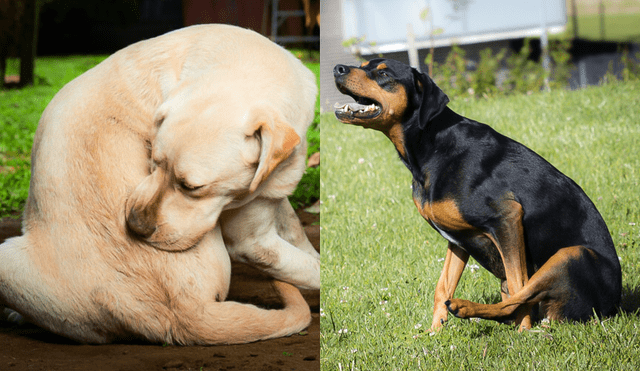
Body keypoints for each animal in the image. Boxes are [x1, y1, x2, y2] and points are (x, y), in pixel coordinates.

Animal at [0, 24, 320, 346]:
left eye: (191, 187)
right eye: (154, 160)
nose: (135, 225)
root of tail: (182, 315)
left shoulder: (268, 207)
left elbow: (297, 233)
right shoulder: (252, 243)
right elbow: (312, 267)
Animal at [332, 59, 624, 332]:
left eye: (383, 73)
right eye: (363, 64)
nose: (337, 68)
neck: (430, 145)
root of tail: (613, 307)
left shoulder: (507, 217)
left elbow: (519, 282)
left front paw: (524, 333)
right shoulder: (458, 238)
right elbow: (442, 287)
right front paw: (434, 332)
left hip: (571, 254)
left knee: (520, 294)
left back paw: (469, 308)